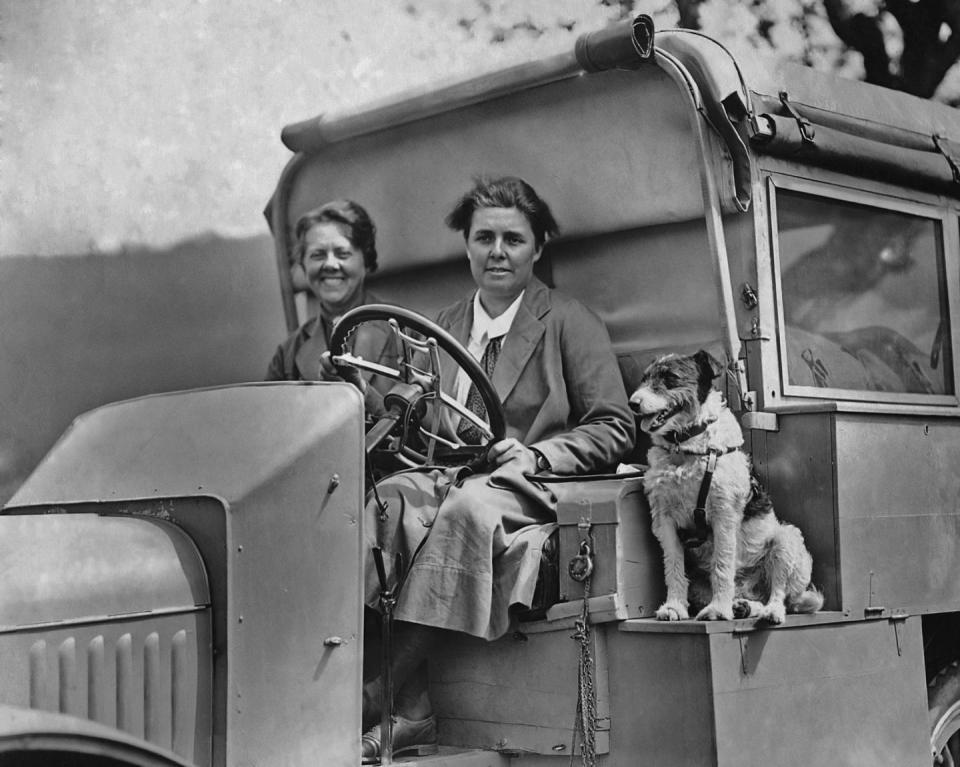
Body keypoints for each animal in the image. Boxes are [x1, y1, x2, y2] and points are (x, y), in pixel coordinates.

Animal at [632, 352, 824, 628]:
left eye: (670, 377)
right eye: (644, 378)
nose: (633, 403)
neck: (686, 447)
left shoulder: (724, 514)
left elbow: (721, 565)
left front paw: (718, 610)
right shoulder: (664, 520)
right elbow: (673, 567)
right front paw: (674, 607)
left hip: (786, 540)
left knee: (779, 593)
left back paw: (768, 611)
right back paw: (742, 606)